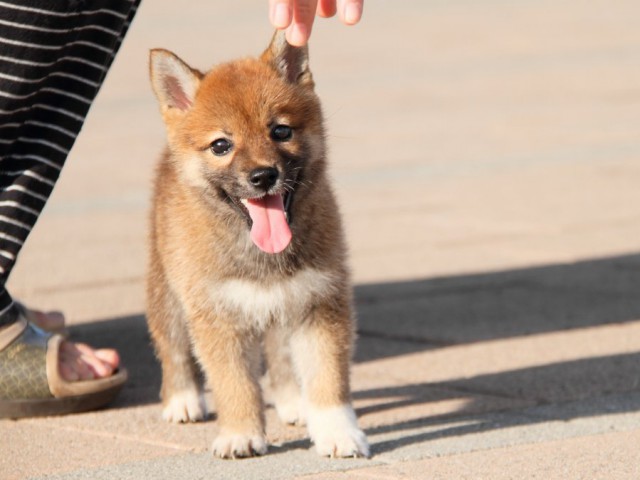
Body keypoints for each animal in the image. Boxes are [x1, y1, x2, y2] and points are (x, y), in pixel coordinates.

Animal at [146, 31, 370, 460]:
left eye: (280, 131)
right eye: (221, 145)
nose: (263, 176)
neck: (262, 256)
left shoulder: (320, 303)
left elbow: (328, 378)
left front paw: (337, 431)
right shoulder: (218, 317)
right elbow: (235, 384)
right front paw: (240, 434)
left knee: (282, 359)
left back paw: (294, 403)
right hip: (168, 293)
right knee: (173, 347)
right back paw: (182, 399)